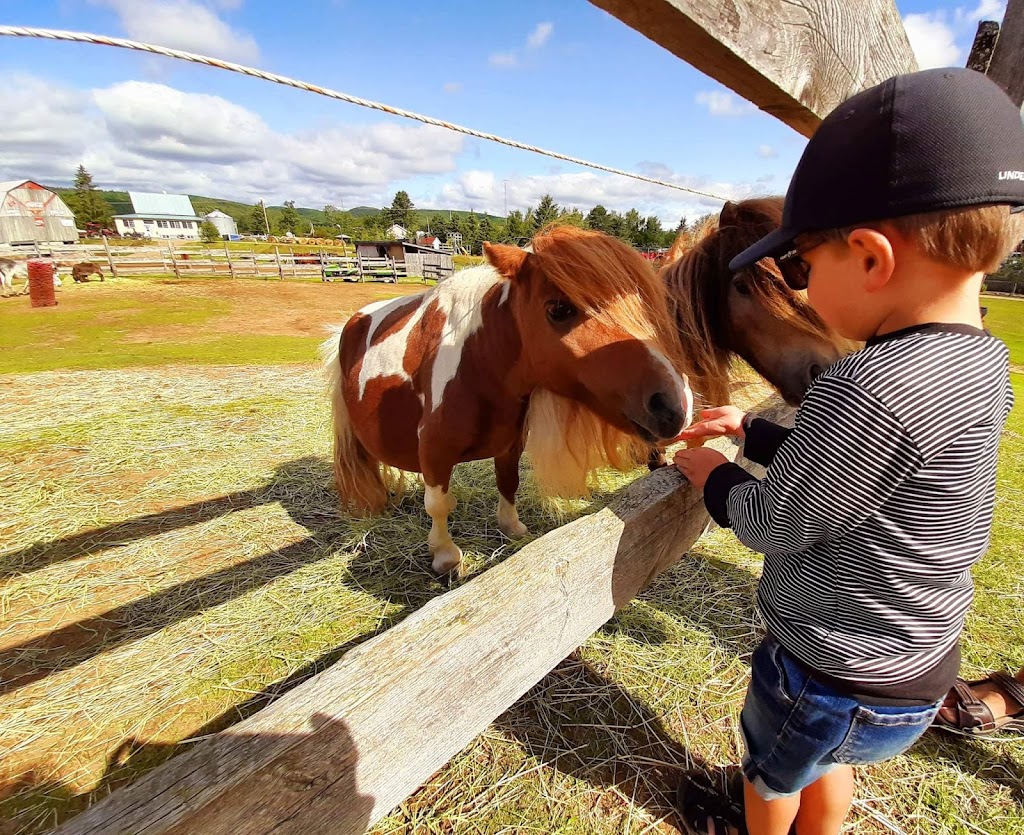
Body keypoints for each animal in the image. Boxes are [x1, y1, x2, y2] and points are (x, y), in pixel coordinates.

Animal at [323, 223, 692, 573]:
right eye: (559, 308)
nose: (675, 405)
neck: (477, 363)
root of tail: (355, 319)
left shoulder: (511, 443)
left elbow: (508, 482)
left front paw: (511, 526)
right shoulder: (434, 450)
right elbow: (439, 504)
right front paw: (444, 555)